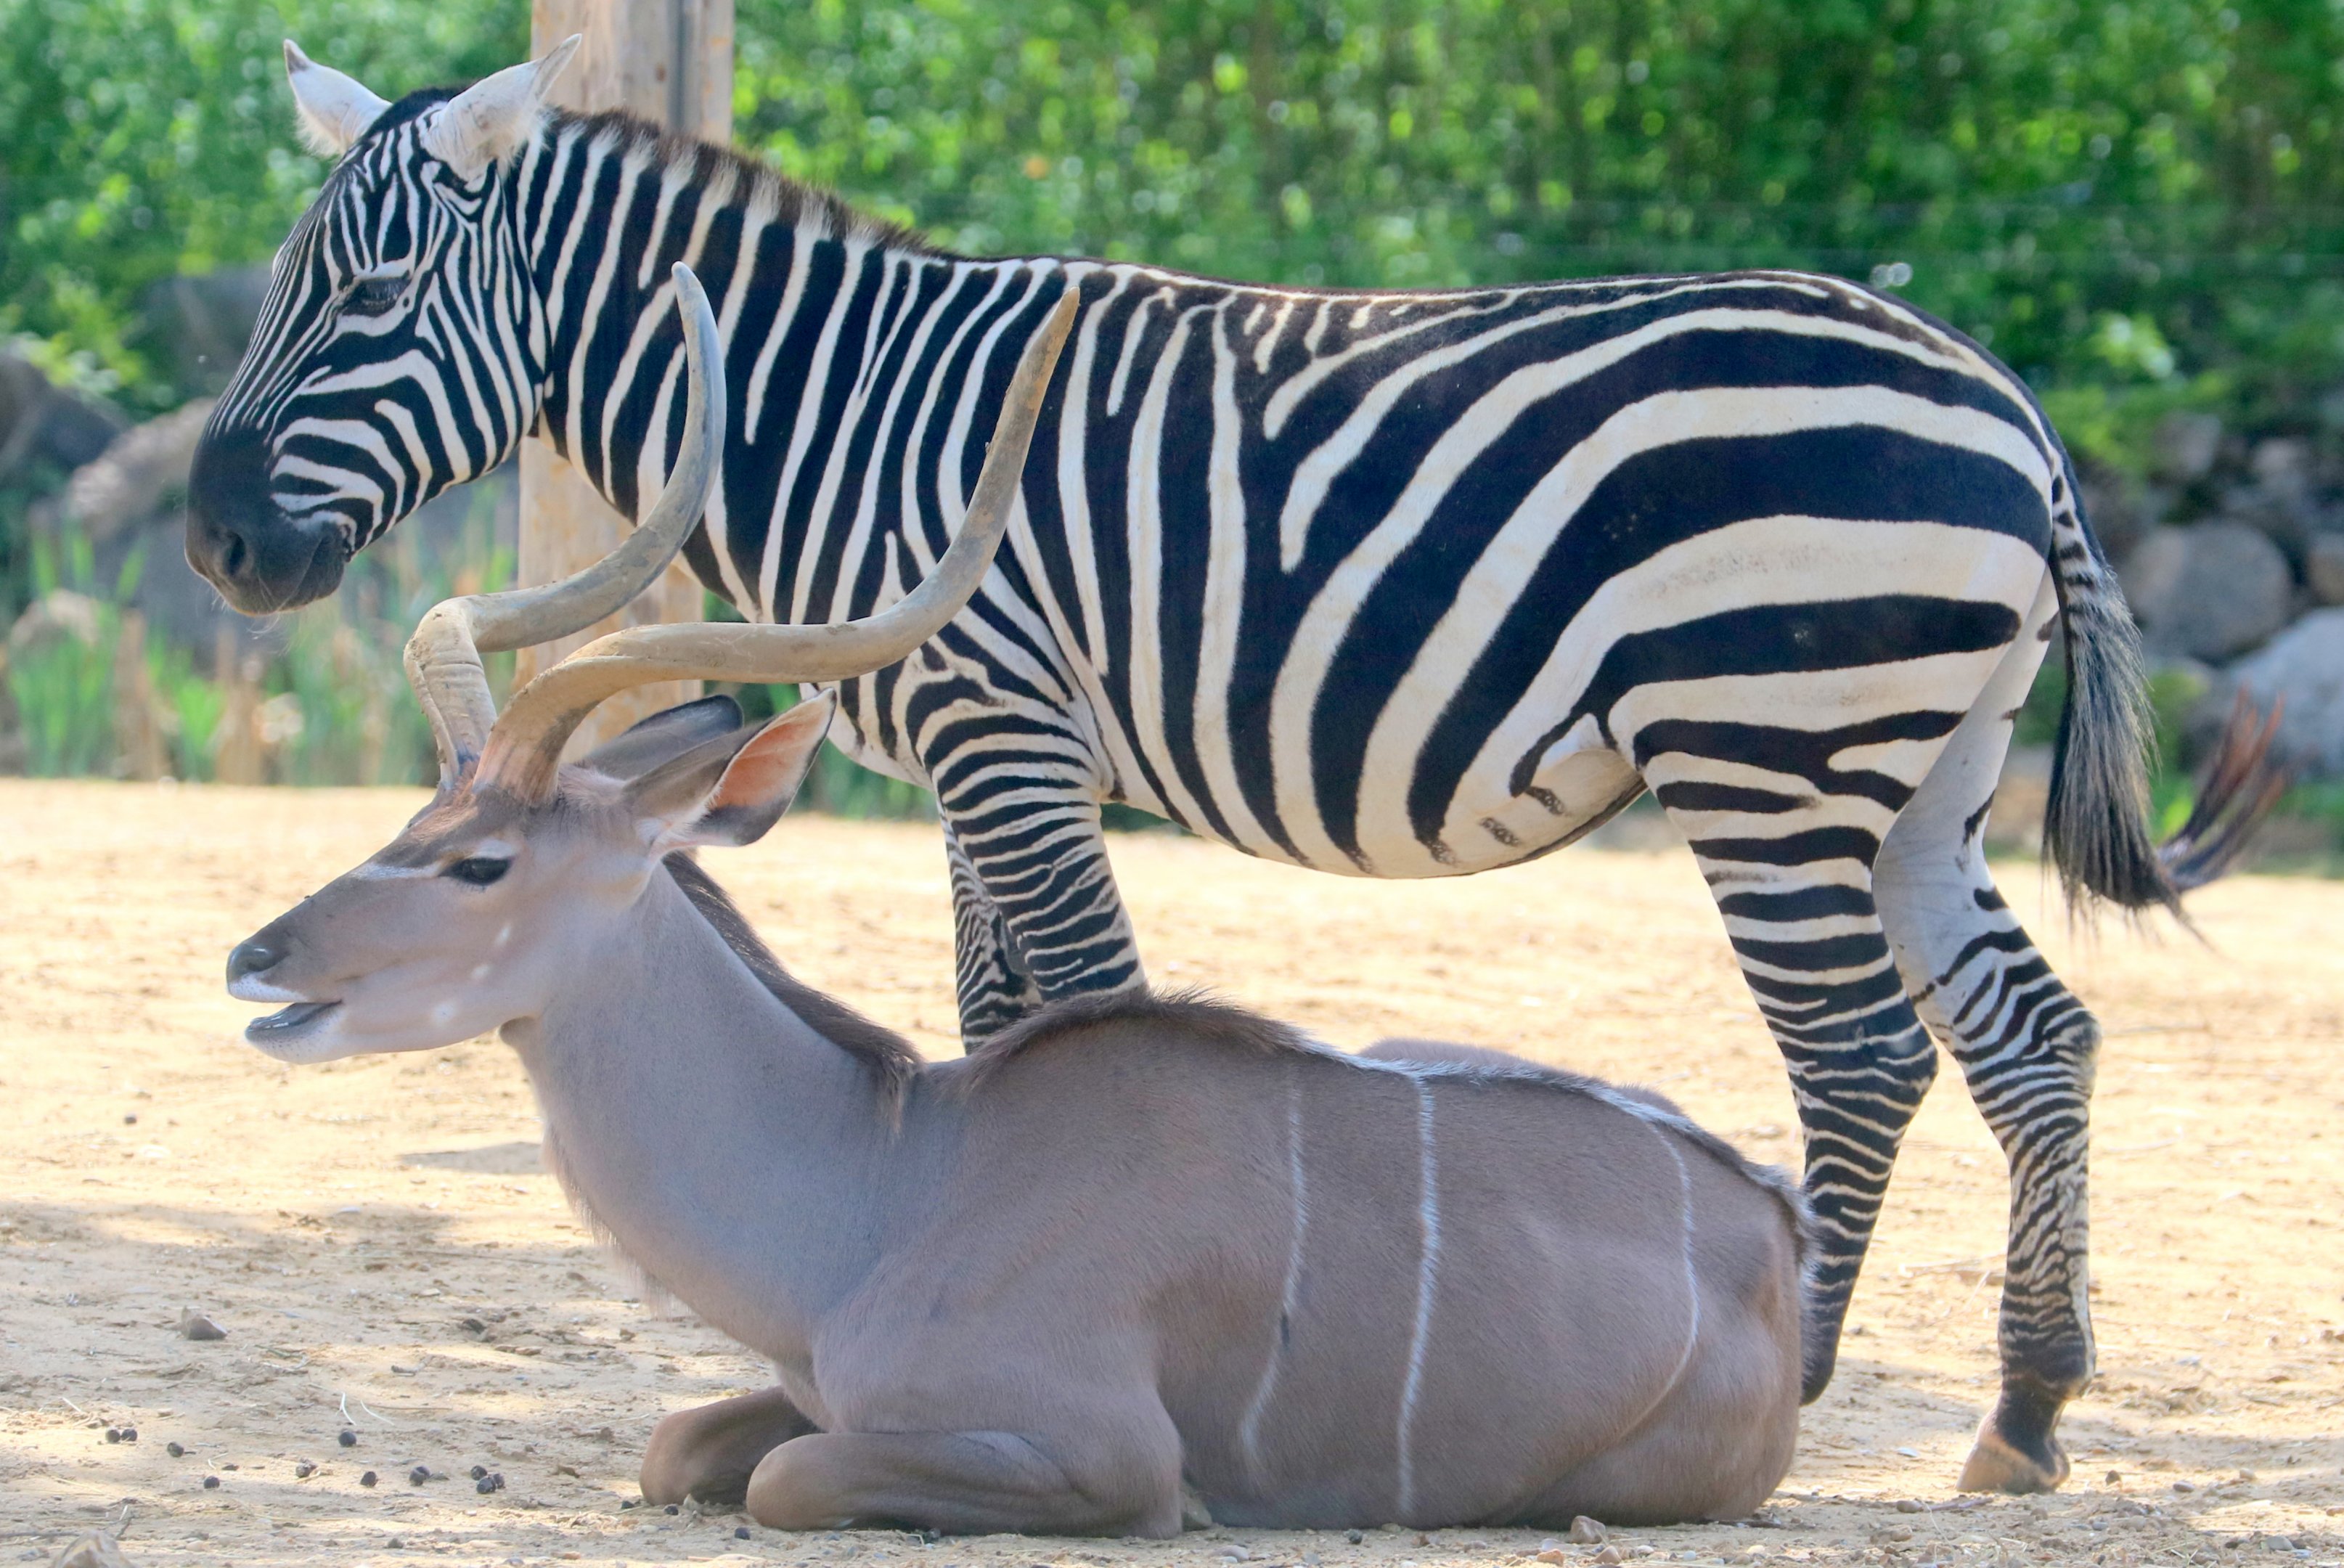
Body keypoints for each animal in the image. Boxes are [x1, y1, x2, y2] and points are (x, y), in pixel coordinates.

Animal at [188, 41, 2278, 1497]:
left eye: (368, 295)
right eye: (281, 282)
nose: (216, 546)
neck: (831, 406)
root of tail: (1995, 388)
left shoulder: (1005, 725)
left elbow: (1077, 1000)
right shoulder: (969, 750)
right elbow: (995, 1014)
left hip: (1769, 747)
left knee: (1855, 1055)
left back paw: (1819, 1376)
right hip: (1921, 767)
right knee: (2033, 1039)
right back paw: (2024, 1411)